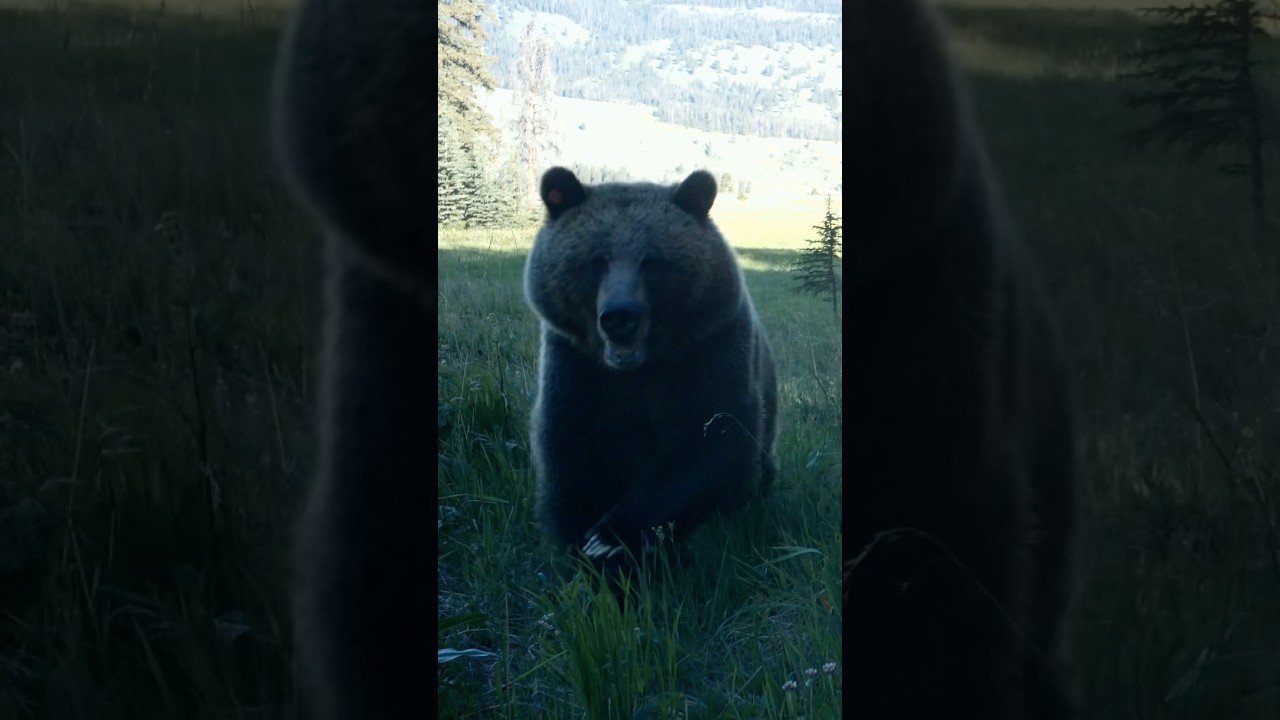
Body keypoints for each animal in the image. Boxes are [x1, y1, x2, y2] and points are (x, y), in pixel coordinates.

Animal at [525, 167, 779, 570]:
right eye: (596, 260)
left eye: (651, 261)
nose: (619, 317)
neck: (639, 369)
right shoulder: (576, 365)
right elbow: (572, 447)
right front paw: (587, 548)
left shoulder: (710, 350)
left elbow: (712, 440)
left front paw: (610, 536)